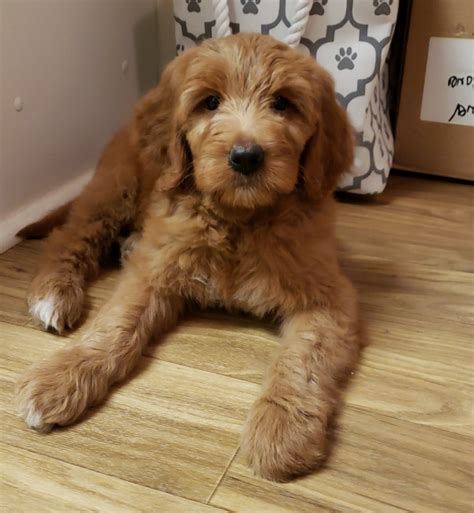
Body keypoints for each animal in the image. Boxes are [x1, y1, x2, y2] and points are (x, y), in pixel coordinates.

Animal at [16, 34, 362, 482]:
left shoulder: (326, 293)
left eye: (283, 103)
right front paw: (61, 375)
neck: (238, 218)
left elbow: (303, 357)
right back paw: (54, 293)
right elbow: (114, 324)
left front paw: (281, 427)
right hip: (114, 187)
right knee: (69, 235)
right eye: (210, 102)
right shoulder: (152, 272)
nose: (246, 156)